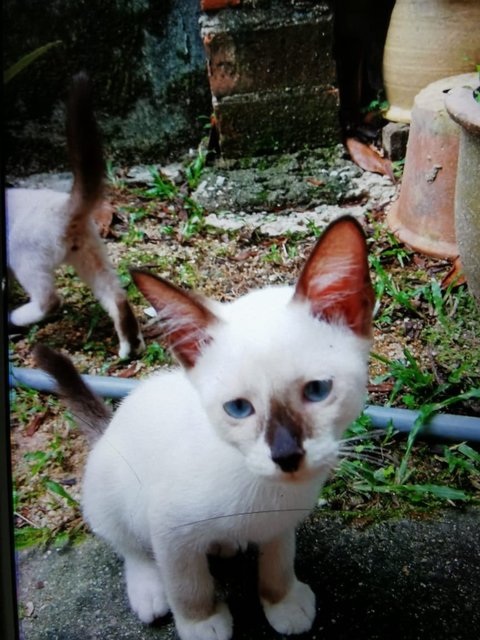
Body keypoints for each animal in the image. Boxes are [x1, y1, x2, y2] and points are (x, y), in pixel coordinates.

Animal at [7, 72, 144, 360]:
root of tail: (65, 205)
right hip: (89, 255)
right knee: (117, 297)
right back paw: (130, 349)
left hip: (24, 257)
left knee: (50, 301)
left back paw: (16, 317)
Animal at [35, 216, 376, 640]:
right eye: (239, 408)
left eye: (317, 391)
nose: (286, 456)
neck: (266, 495)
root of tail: (108, 427)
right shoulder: (170, 531)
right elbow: (188, 586)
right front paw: (202, 623)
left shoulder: (281, 525)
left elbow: (278, 565)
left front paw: (283, 604)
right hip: (113, 499)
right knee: (129, 546)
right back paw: (150, 591)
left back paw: (225, 545)